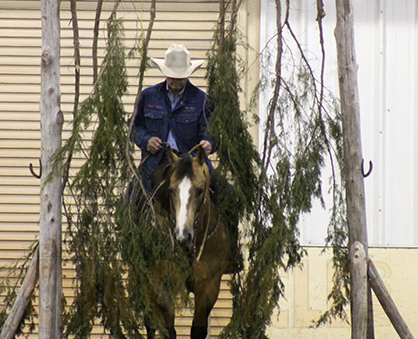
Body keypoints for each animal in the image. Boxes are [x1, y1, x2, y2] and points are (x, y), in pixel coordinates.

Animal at [144, 147, 233, 339]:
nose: (182, 236)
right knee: (150, 322)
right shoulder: (162, 281)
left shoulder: (209, 285)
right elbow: (168, 329)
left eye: (200, 190)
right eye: (171, 190)